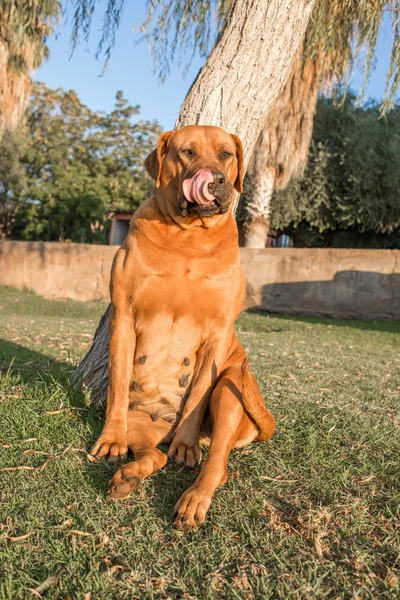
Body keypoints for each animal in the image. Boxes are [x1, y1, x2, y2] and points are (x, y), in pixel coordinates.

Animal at [90, 123, 276, 528]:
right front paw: (110, 439)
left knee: (217, 463)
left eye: (226, 154)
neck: (189, 236)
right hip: (142, 423)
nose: (216, 179)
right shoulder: (123, 316)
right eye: (187, 152)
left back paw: (193, 497)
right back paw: (128, 476)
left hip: (232, 390)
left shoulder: (219, 331)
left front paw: (187, 446)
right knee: (154, 455)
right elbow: (116, 385)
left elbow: (199, 391)